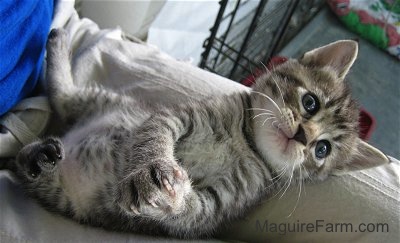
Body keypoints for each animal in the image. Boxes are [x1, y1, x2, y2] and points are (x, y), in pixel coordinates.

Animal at [14, 29, 390, 238]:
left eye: (322, 150)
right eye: (310, 102)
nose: (303, 137)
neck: (246, 143)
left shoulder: (226, 200)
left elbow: (192, 213)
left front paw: (174, 197)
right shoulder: (175, 116)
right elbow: (152, 138)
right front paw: (150, 170)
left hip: (64, 194)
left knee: (26, 165)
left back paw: (39, 157)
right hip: (105, 102)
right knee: (62, 96)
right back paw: (58, 41)